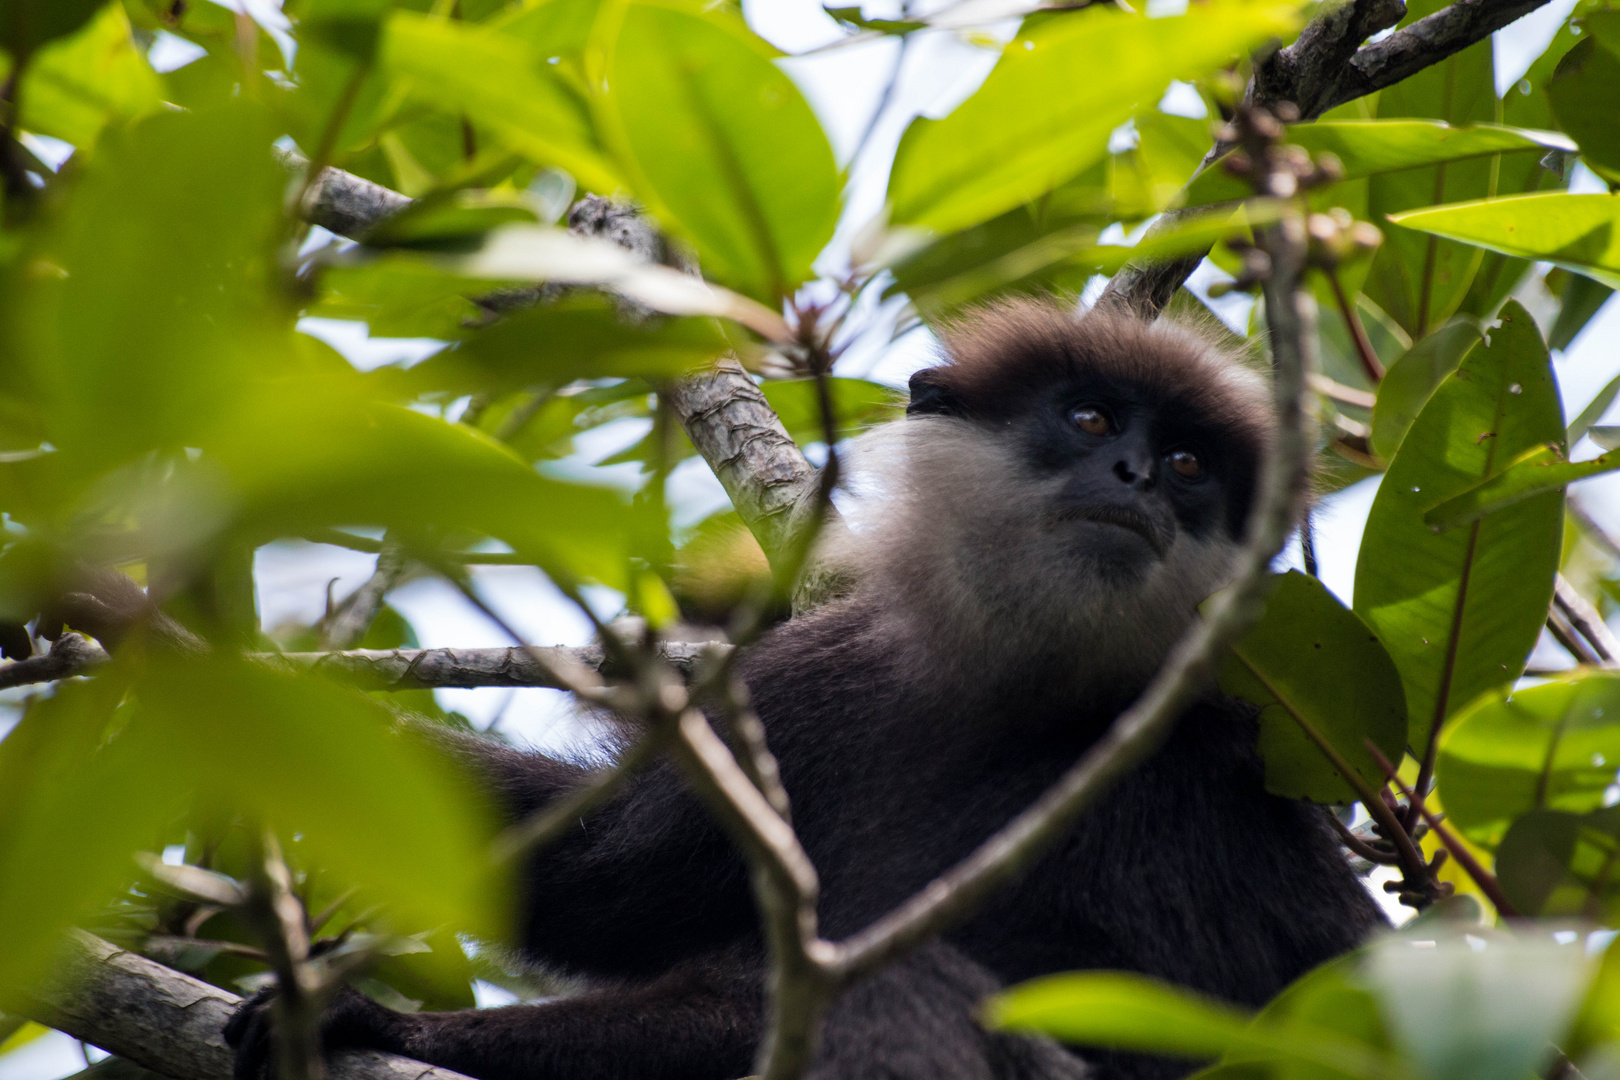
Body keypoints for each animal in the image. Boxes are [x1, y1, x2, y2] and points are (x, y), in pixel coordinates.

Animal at [221, 299, 1386, 1080]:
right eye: (1093, 421)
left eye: (1189, 464)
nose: (1140, 478)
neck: (1023, 697)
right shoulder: (818, 678)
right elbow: (604, 878)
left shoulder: (1209, 772)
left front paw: (392, 1025)